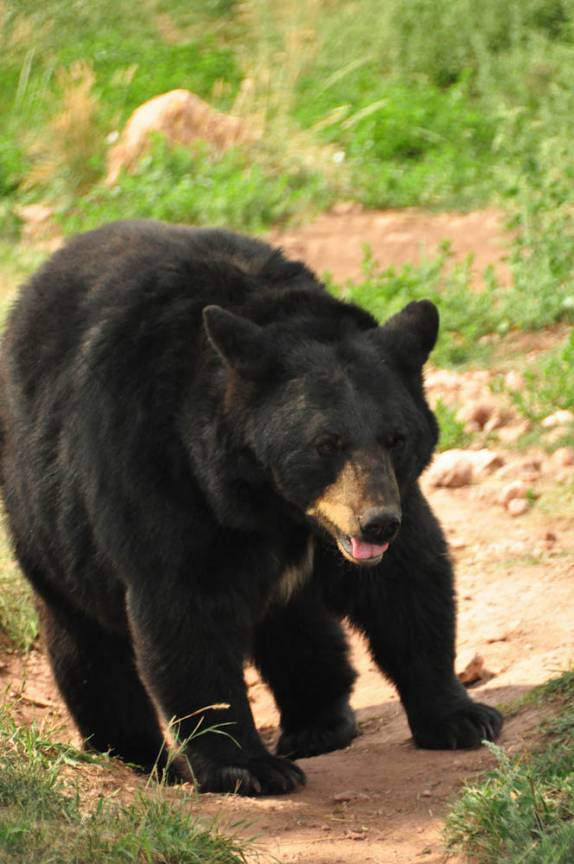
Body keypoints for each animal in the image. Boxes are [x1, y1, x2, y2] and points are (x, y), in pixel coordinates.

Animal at [0, 220, 502, 795]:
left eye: (396, 438)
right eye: (325, 444)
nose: (376, 525)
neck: (269, 504)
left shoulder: (394, 496)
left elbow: (409, 585)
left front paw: (461, 716)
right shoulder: (158, 474)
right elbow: (186, 614)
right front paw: (248, 767)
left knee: (296, 625)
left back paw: (319, 722)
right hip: (45, 519)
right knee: (86, 644)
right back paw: (136, 756)